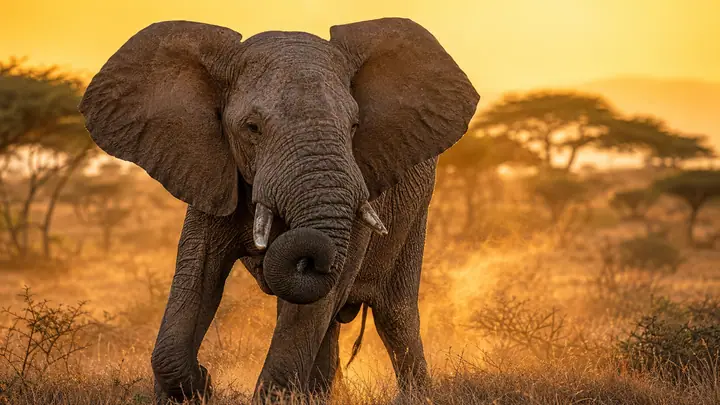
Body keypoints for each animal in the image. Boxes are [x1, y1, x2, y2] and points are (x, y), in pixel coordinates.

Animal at [78, 17, 479, 403]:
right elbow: (198, 271)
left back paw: (412, 395)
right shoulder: (211, 168)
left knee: (393, 315)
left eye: (355, 126)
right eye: (252, 127)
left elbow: (321, 292)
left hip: (417, 209)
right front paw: (198, 386)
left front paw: (269, 396)